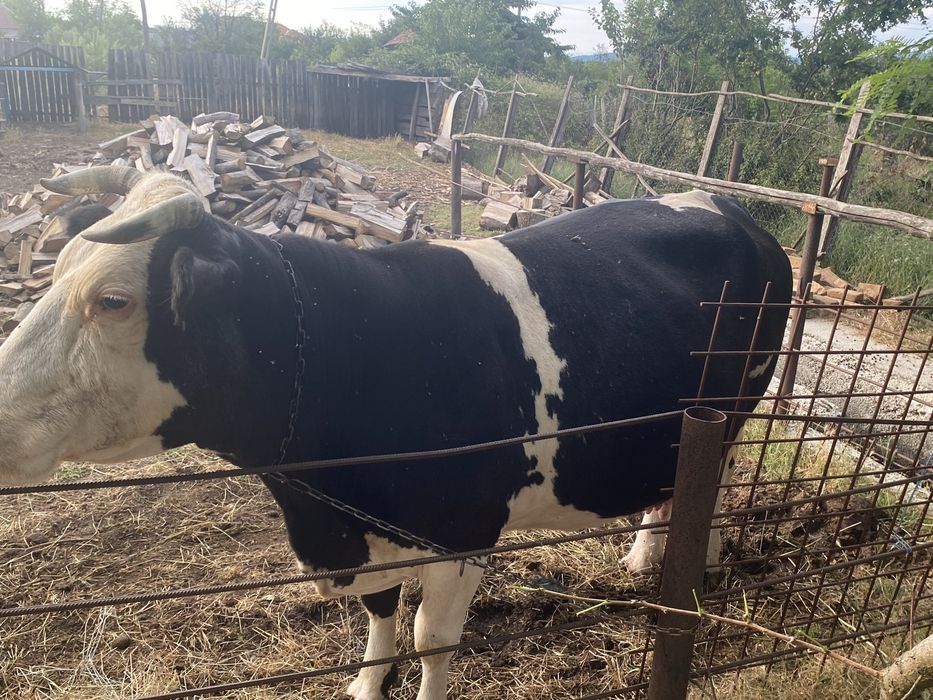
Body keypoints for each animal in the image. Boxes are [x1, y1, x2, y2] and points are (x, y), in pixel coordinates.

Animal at [0, 166, 791, 700]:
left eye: (112, 300)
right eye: (55, 273)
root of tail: (730, 206)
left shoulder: (466, 531)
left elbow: (432, 640)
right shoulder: (364, 536)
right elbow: (381, 616)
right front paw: (363, 684)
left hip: (735, 405)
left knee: (715, 475)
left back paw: (698, 559)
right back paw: (642, 554)